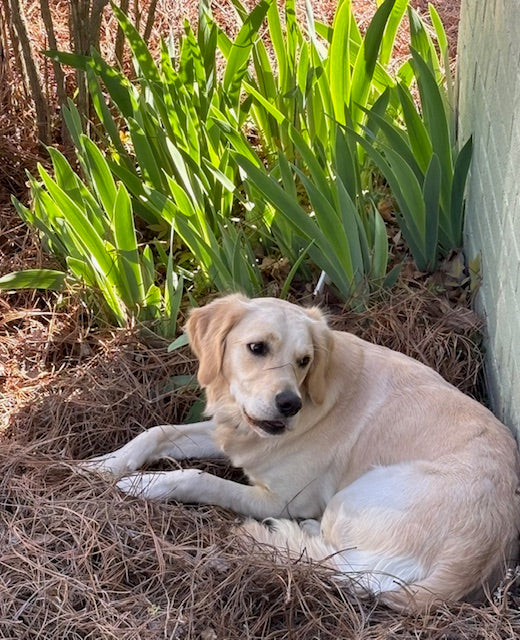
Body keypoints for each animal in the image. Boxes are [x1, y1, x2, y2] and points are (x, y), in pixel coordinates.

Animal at [86, 294, 520, 608]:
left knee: (341, 563)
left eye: (304, 360)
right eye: (257, 347)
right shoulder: (233, 433)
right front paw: (106, 464)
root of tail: (468, 563)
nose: (289, 404)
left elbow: (198, 478)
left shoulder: (280, 499)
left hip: (357, 496)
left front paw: (145, 484)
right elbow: (157, 431)